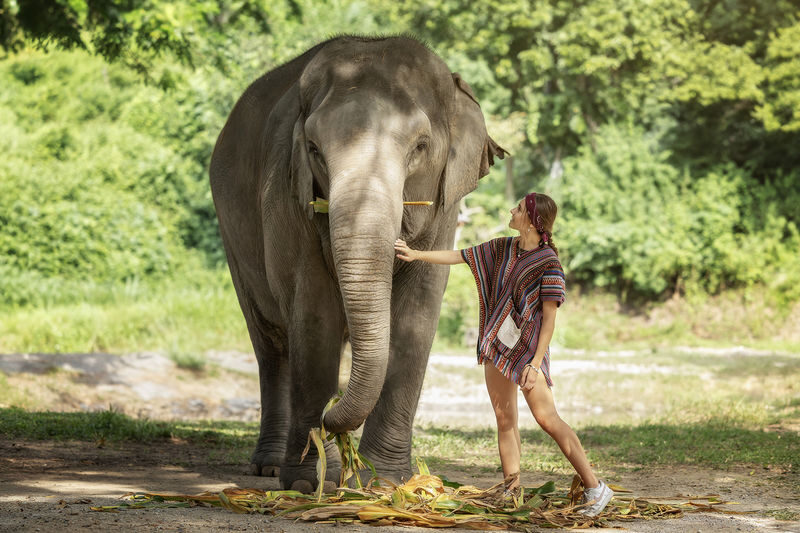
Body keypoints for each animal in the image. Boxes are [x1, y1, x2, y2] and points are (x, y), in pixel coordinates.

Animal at [209, 35, 505, 491]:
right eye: (313, 149)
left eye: (420, 147)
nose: (330, 419)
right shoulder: (286, 196)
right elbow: (314, 316)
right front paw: (310, 482)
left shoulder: (445, 210)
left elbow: (417, 317)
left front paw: (384, 482)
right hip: (232, 237)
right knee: (272, 345)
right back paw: (272, 467)